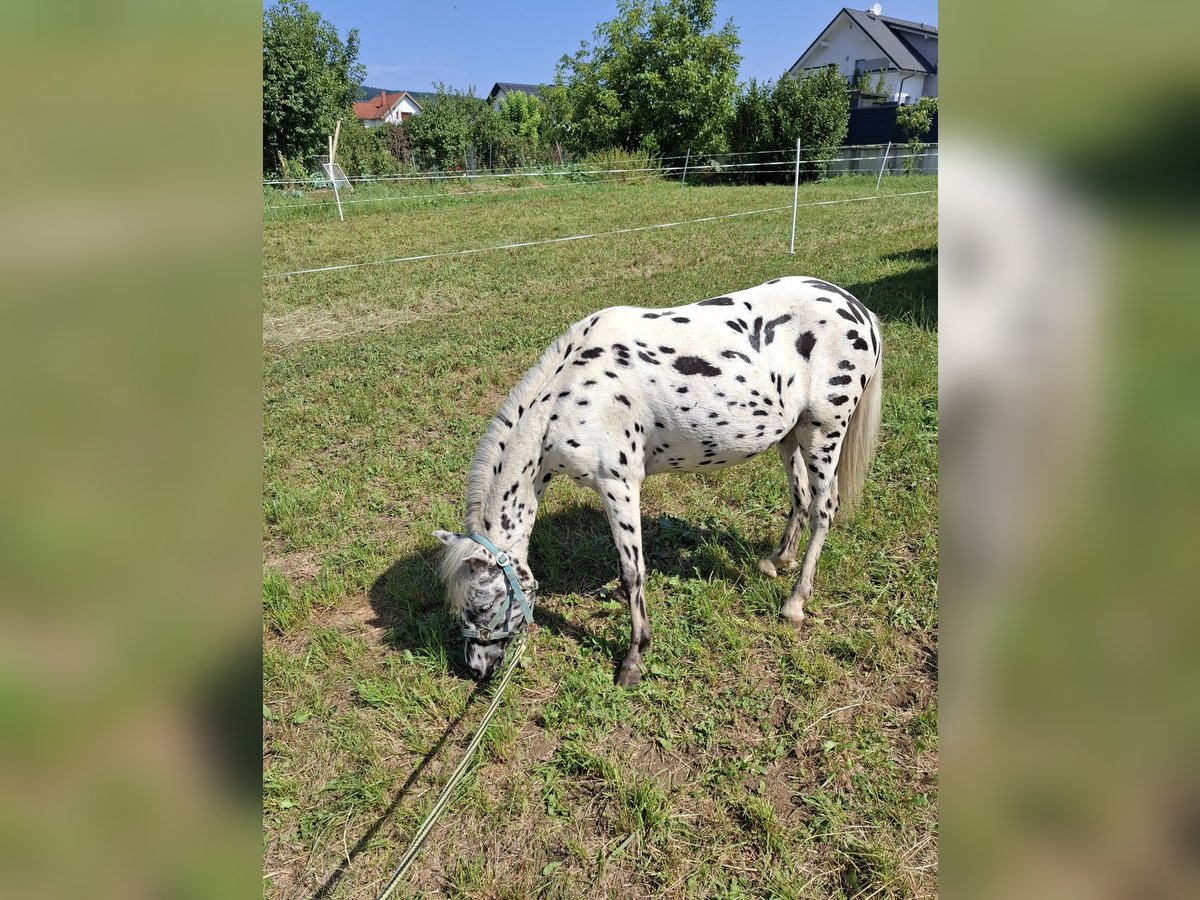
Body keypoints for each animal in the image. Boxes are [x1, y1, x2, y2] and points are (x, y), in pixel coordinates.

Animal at [432, 274, 883, 681]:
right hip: (792, 434)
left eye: (482, 605)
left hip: (824, 431)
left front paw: (634, 658)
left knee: (824, 509)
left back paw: (794, 604)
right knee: (801, 498)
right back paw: (776, 561)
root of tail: (860, 311)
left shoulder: (618, 484)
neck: (565, 396)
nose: (476, 669)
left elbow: (632, 571)